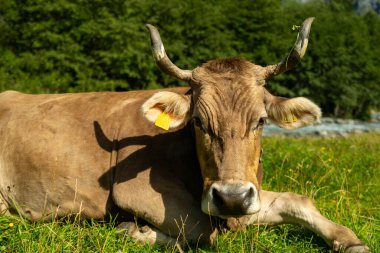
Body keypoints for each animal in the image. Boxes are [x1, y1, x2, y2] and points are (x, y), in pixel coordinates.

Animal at [0, 16, 368, 252]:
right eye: (198, 122)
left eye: (261, 121)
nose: (231, 197)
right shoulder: (133, 191)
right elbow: (203, 232)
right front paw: (135, 231)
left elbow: (296, 200)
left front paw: (350, 241)